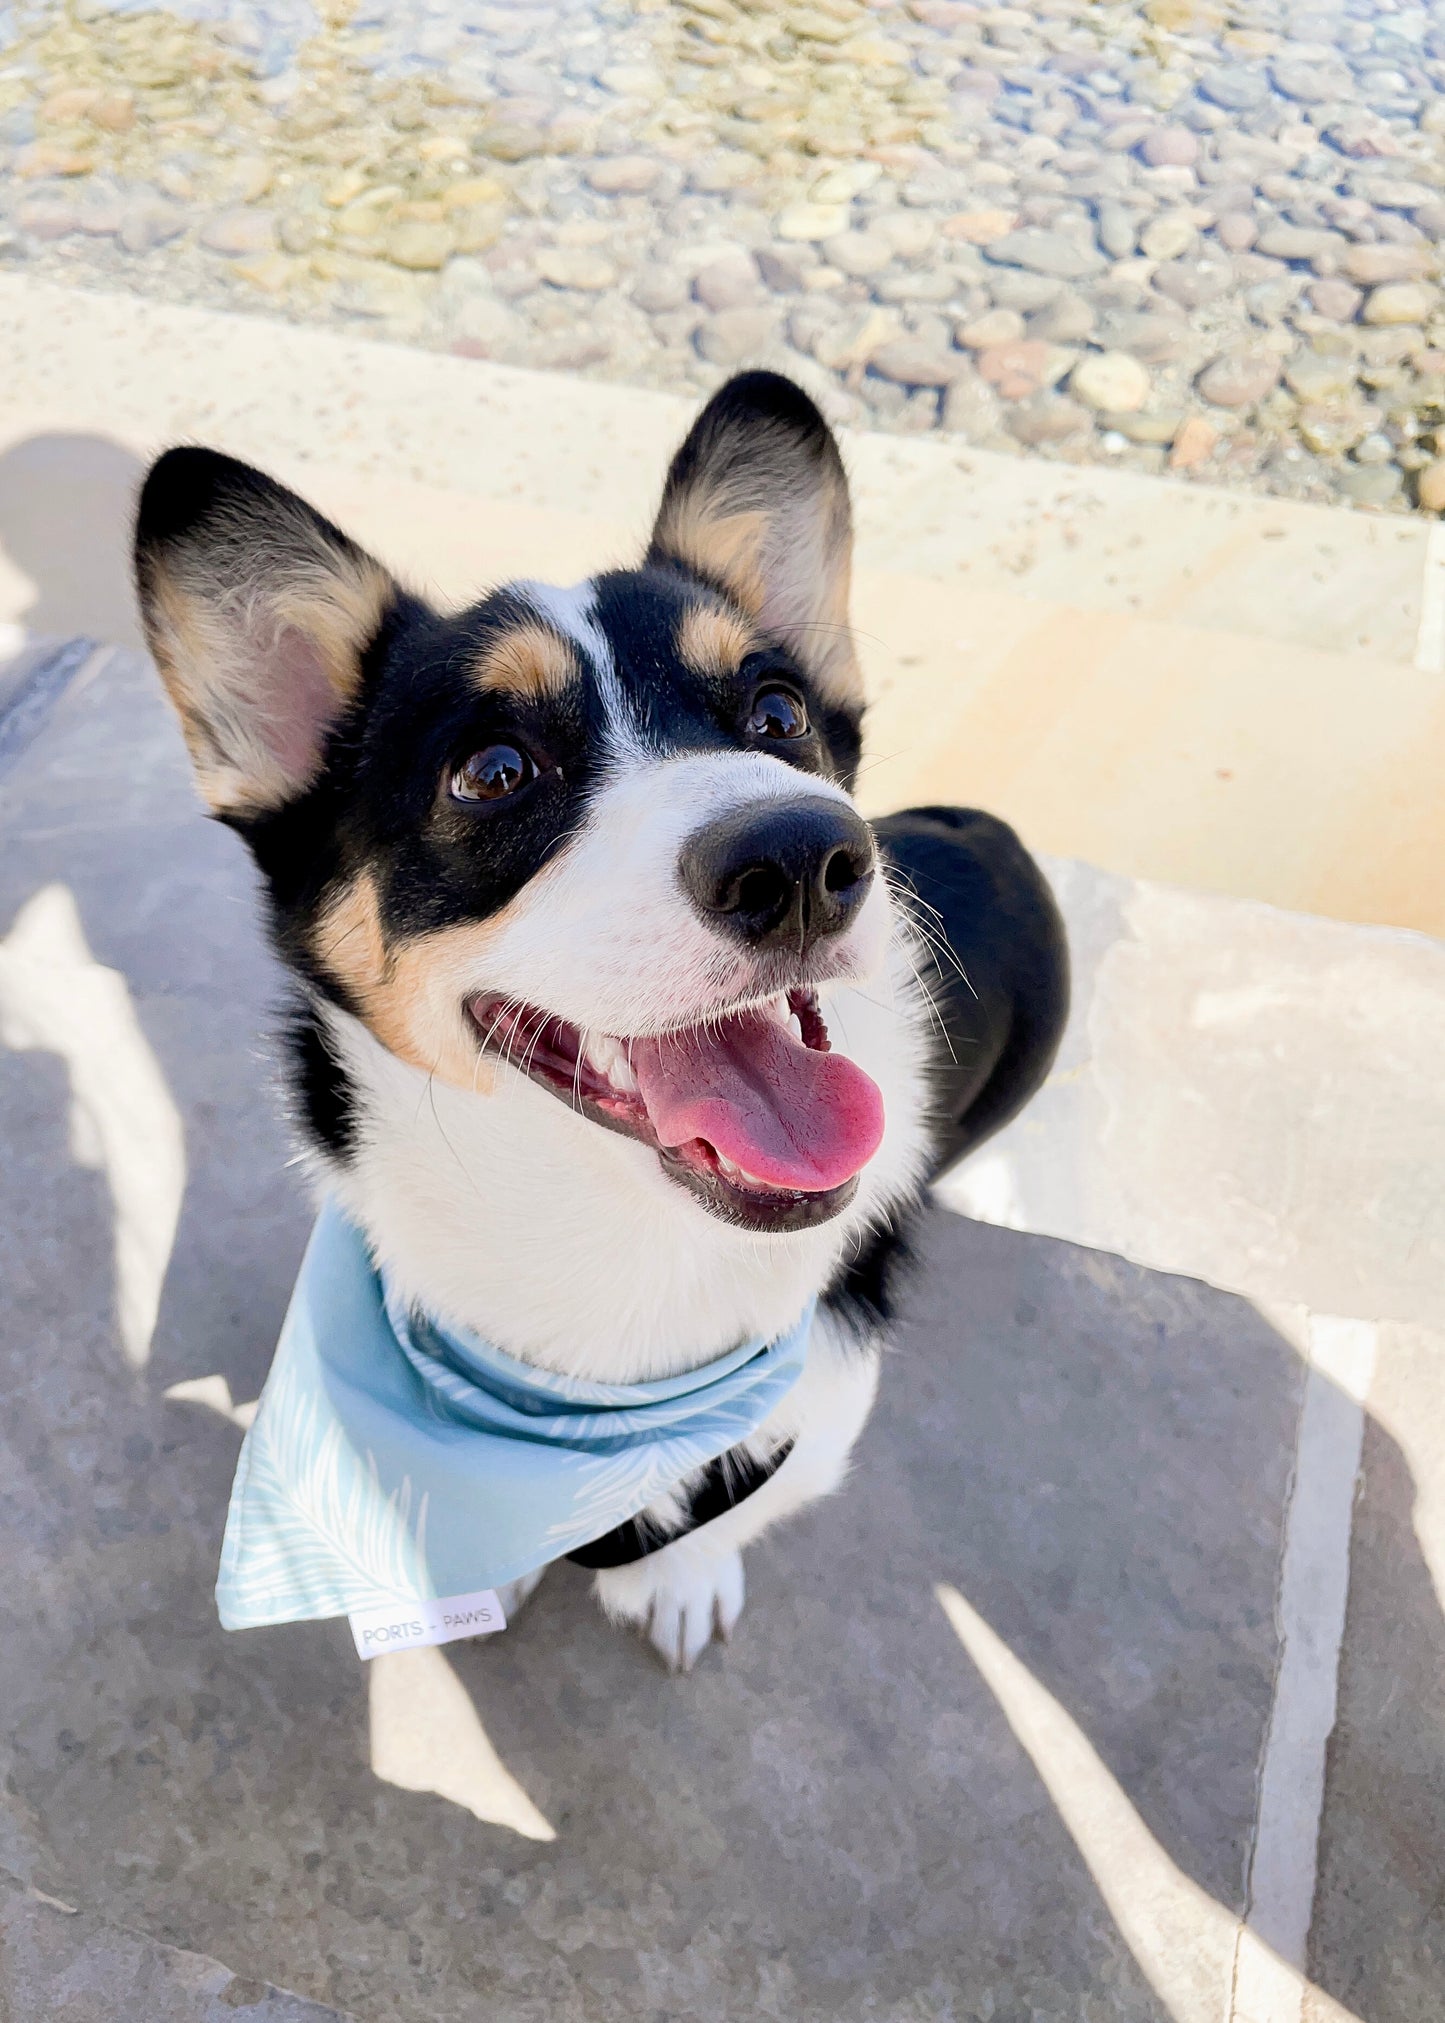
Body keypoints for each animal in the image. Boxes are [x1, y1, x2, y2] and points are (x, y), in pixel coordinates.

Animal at [132, 372, 1060, 1666]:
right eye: (493, 772)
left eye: (777, 710)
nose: (803, 858)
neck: (609, 1253)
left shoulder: (816, 1411)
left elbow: (740, 1506)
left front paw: (680, 1576)